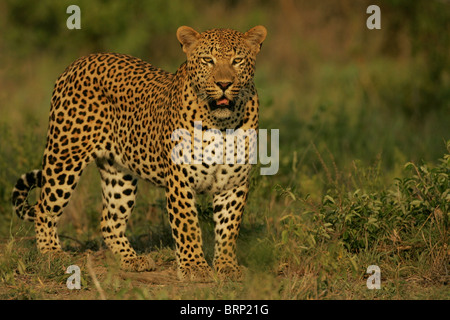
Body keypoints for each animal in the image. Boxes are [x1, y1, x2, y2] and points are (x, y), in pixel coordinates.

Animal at [11, 24, 268, 280]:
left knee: (109, 221)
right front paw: (194, 266)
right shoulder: (180, 182)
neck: (222, 124)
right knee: (44, 208)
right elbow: (187, 226)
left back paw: (131, 260)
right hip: (65, 157)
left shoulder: (233, 184)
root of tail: (79, 61)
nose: (224, 84)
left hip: (119, 174)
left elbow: (228, 229)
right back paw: (52, 254)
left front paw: (227, 266)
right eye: (208, 60)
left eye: (237, 60)